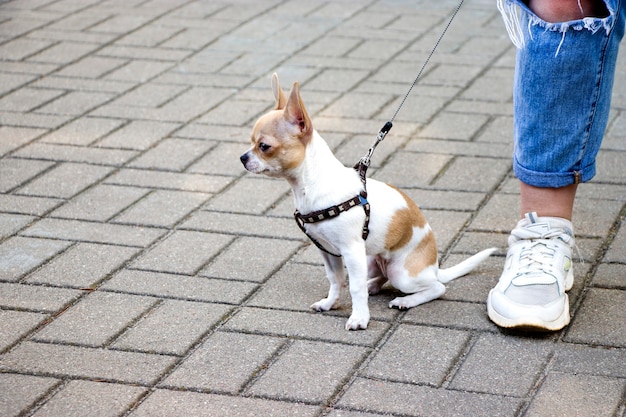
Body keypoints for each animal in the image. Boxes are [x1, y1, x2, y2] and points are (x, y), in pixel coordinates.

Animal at [239, 74, 492, 328]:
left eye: (264, 146)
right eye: (250, 142)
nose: (242, 157)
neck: (312, 186)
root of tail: (434, 267)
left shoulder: (351, 252)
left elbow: (355, 289)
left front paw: (360, 317)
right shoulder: (328, 251)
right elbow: (335, 279)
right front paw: (330, 303)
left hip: (401, 275)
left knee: (437, 288)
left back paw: (406, 300)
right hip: (371, 259)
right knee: (381, 276)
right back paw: (374, 286)